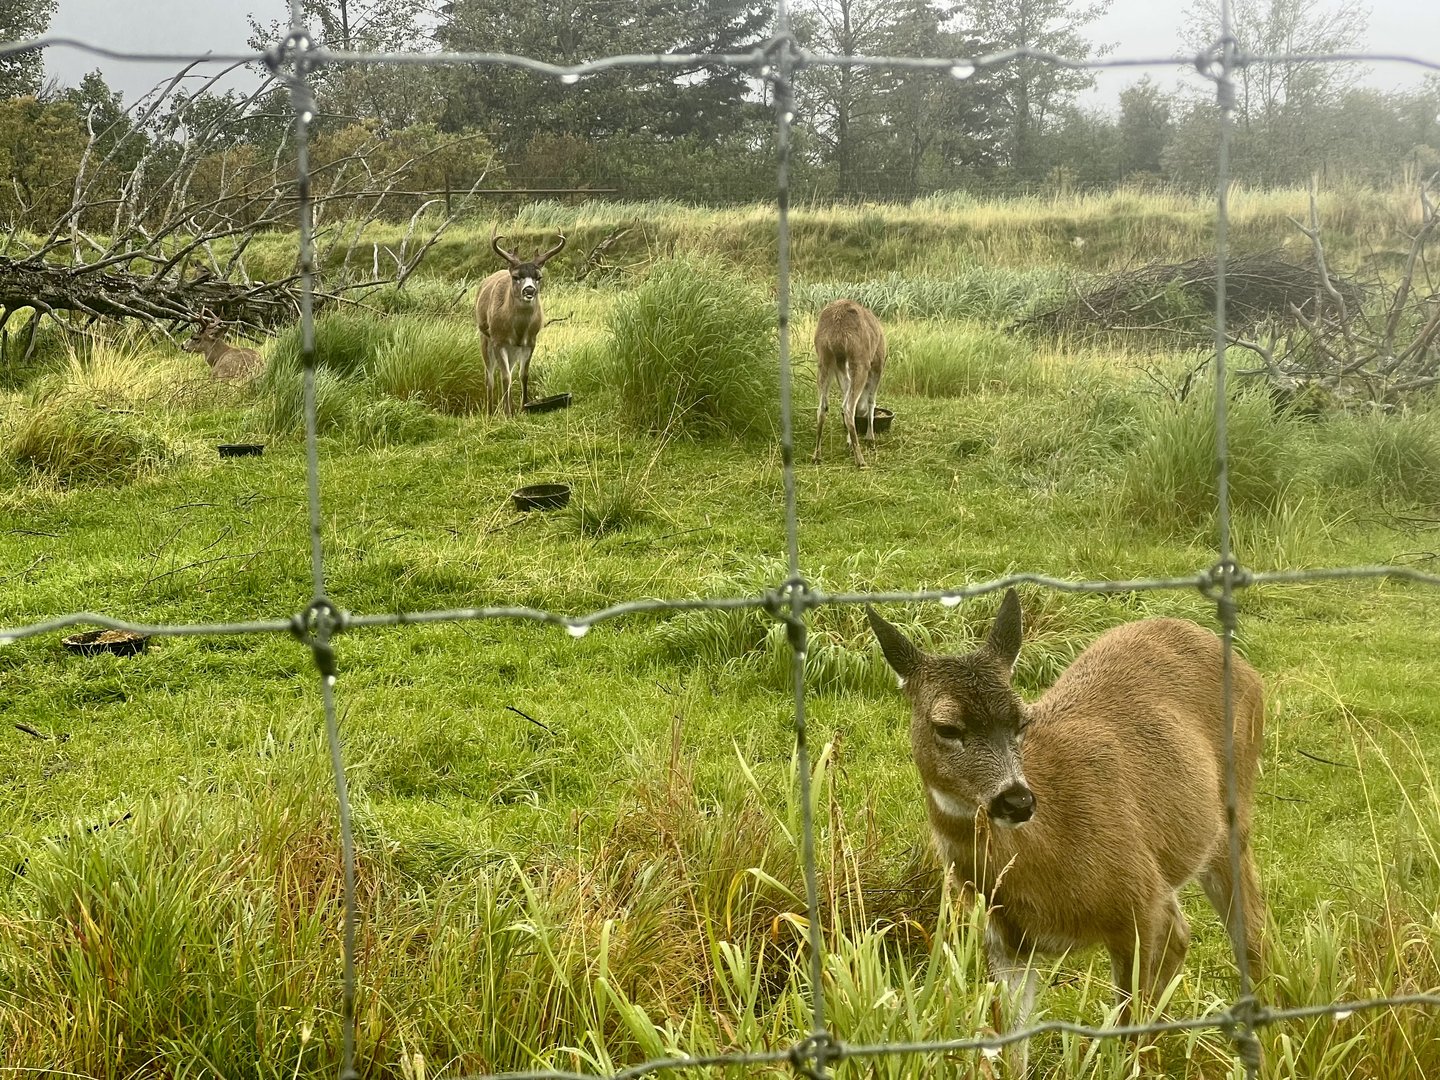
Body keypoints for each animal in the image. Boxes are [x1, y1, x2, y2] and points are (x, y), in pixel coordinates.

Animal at [474, 229, 566, 416]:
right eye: (516, 276)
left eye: (539, 277)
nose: (529, 290)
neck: (518, 330)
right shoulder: (498, 340)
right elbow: (505, 377)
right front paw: (507, 413)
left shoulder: (531, 341)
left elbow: (523, 375)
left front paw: (523, 407)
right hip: (484, 337)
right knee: (490, 376)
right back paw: (490, 412)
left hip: (513, 350)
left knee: (508, 371)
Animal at [813, 298, 886, 468]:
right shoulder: (878, 363)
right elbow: (871, 400)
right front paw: (870, 438)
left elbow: (844, 395)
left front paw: (849, 442)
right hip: (859, 359)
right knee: (848, 408)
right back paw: (860, 460)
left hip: (825, 357)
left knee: (822, 407)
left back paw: (816, 455)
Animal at [867, 590, 1265, 1075]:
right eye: (947, 727)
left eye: (1021, 720)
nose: (1016, 801)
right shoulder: (1006, 944)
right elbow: (1011, 1050)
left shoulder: (1136, 905)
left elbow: (1125, 1031)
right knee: (1184, 932)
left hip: (1233, 813)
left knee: (1250, 929)